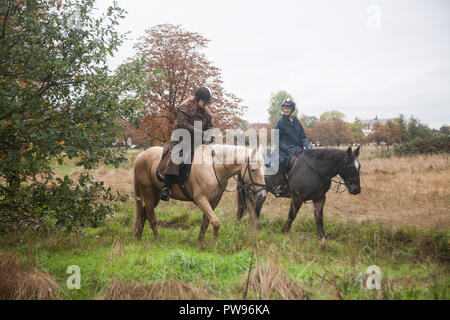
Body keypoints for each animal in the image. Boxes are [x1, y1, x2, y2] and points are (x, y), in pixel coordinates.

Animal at [134, 144, 268, 242]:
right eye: (253, 170)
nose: (262, 195)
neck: (214, 168)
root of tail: (140, 156)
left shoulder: (213, 202)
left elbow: (205, 223)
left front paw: (200, 244)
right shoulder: (201, 200)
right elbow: (215, 222)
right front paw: (214, 246)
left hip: (155, 195)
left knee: (143, 212)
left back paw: (138, 235)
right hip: (147, 192)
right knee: (151, 216)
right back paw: (157, 239)